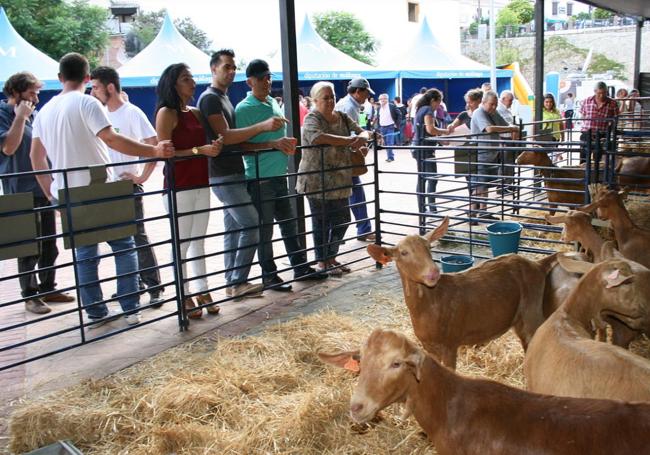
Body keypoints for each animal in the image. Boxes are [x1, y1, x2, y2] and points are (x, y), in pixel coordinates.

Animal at [364, 217, 552, 370]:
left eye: (429, 247)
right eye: (403, 253)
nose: (433, 273)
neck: (430, 304)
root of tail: (538, 265)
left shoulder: (450, 342)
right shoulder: (428, 346)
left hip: (533, 310)